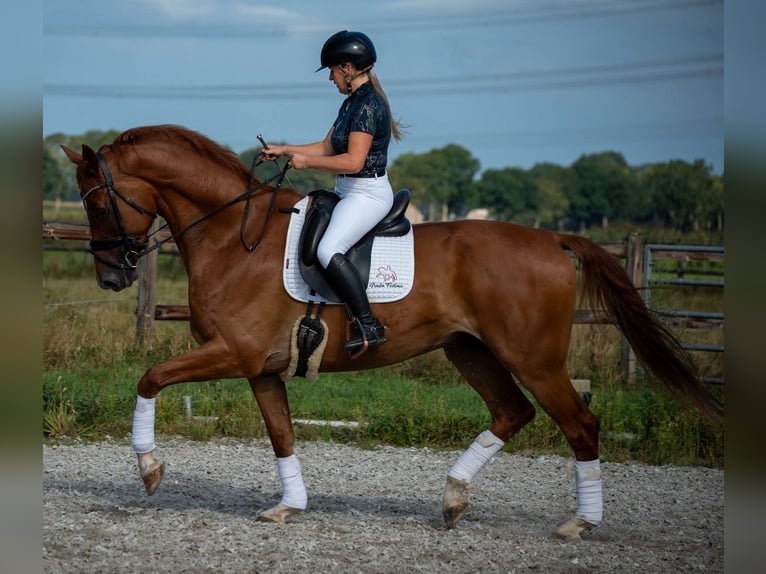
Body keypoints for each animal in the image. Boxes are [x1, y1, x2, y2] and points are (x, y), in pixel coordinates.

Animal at [61, 124, 723, 540]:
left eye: (98, 203)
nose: (111, 276)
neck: (232, 236)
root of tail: (552, 240)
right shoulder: (261, 367)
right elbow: (281, 433)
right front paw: (289, 507)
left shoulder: (232, 353)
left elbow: (151, 378)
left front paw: (149, 469)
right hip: (470, 350)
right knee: (512, 412)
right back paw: (453, 498)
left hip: (532, 357)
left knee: (579, 424)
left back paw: (579, 523)